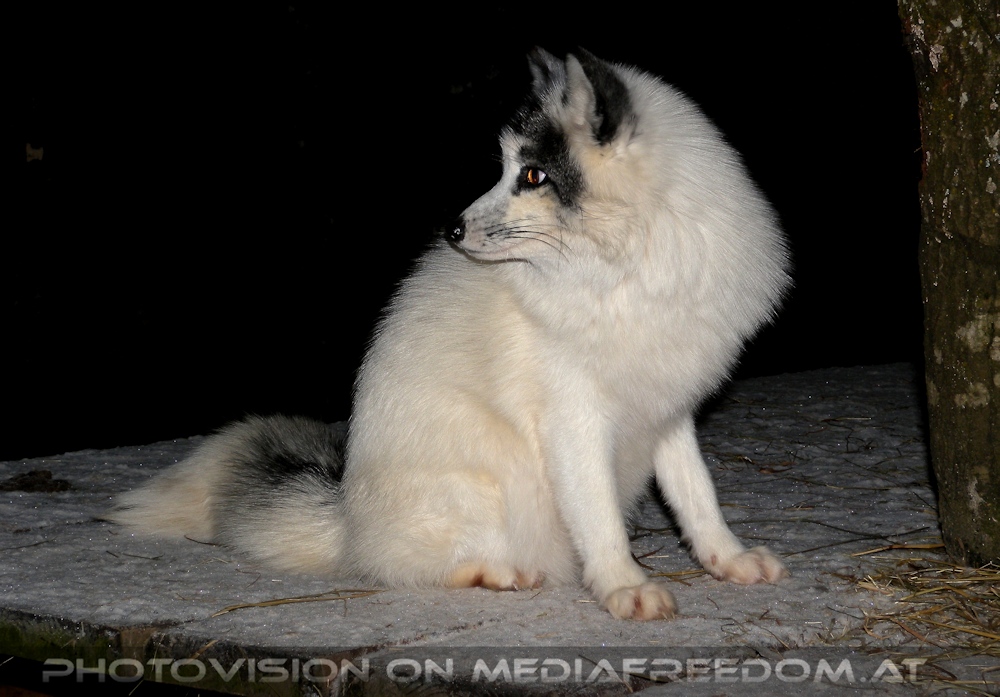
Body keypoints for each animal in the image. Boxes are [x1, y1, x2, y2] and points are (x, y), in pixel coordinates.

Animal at [110, 47, 791, 620]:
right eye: (508, 169)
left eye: (533, 176)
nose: (451, 231)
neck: (628, 274)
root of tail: (345, 517)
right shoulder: (573, 418)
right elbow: (599, 518)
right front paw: (624, 585)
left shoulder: (668, 408)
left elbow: (697, 496)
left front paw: (727, 560)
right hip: (481, 487)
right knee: (410, 566)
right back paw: (498, 572)